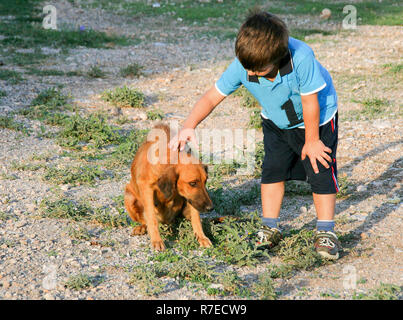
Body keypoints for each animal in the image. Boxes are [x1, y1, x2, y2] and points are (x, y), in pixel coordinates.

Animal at [124, 122, 213, 250]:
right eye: (192, 183)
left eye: (205, 181)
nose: (211, 208)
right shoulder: (146, 188)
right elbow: (151, 217)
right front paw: (157, 240)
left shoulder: (191, 200)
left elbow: (196, 218)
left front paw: (202, 237)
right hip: (129, 197)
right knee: (145, 220)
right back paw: (142, 227)